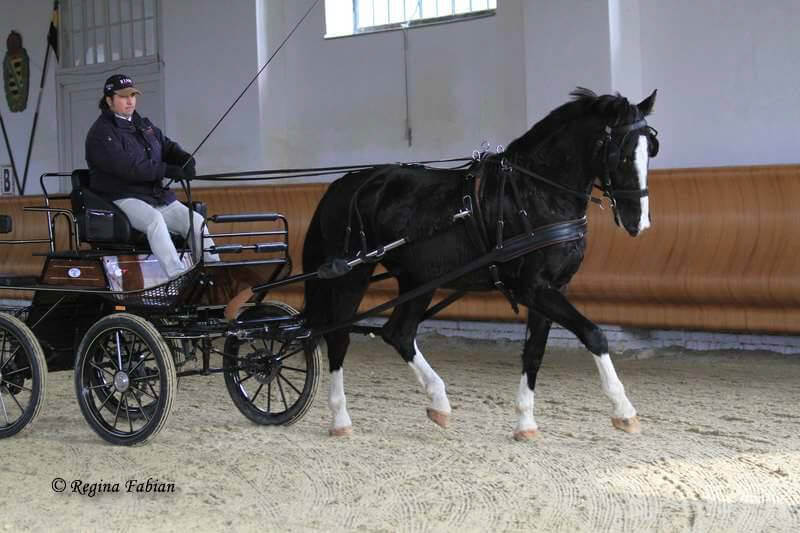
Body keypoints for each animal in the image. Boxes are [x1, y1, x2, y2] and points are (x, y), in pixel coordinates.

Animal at [302, 87, 659, 439]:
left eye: (650, 151)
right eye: (621, 154)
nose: (638, 222)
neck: (537, 193)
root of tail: (344, 184)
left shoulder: (553, 287)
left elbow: (535, 351)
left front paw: (525, 422)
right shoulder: (534, 288)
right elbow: (593, 334)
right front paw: (624, 410)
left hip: (419, 278)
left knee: (399, 333)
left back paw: (439, 402)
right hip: (352, 274)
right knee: (339, 335)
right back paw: (340, 418)